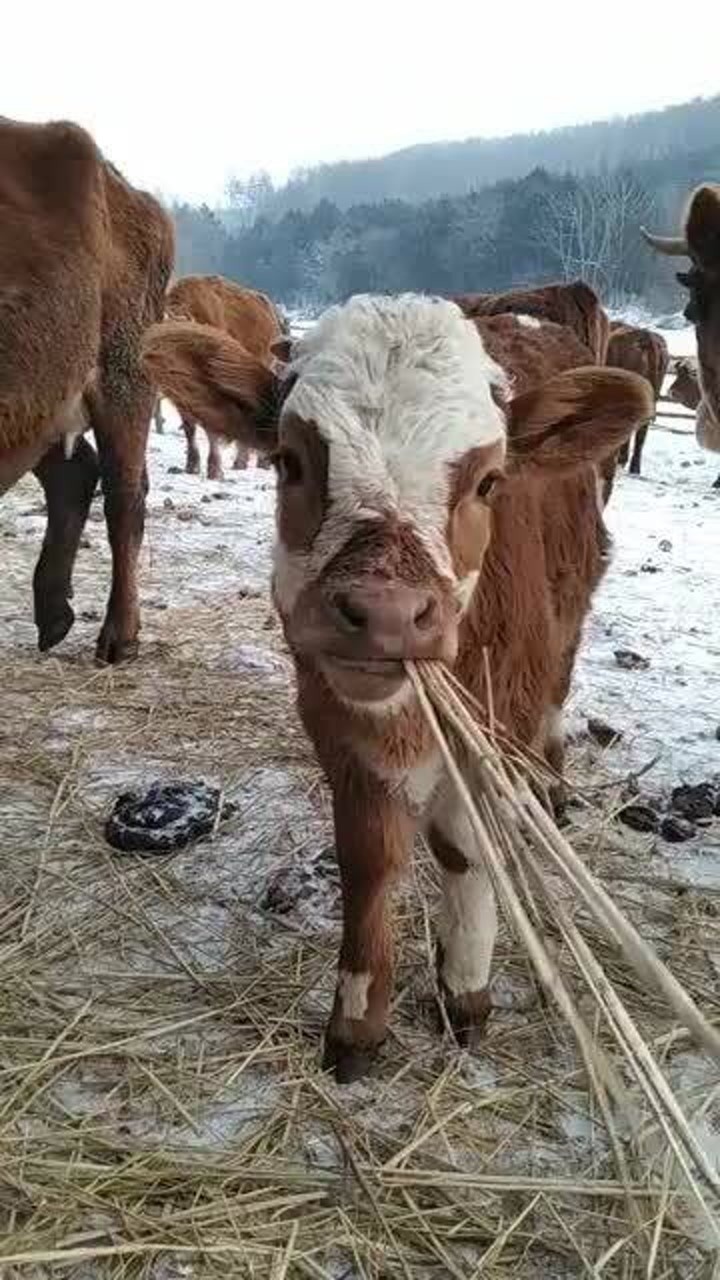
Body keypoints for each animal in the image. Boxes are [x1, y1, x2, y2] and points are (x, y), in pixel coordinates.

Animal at [0, 112, 174, 660]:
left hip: (123, 376)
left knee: (124, 497)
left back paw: (119, 636)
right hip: (41, 397)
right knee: (74, 474)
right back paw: (54, 615)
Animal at [163, 275, 284, 481]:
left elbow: (211, 428)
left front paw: (214, 469)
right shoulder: (181, 398)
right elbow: (189, 428)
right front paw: (192, 465)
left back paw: (258, 461)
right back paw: (242, 462)